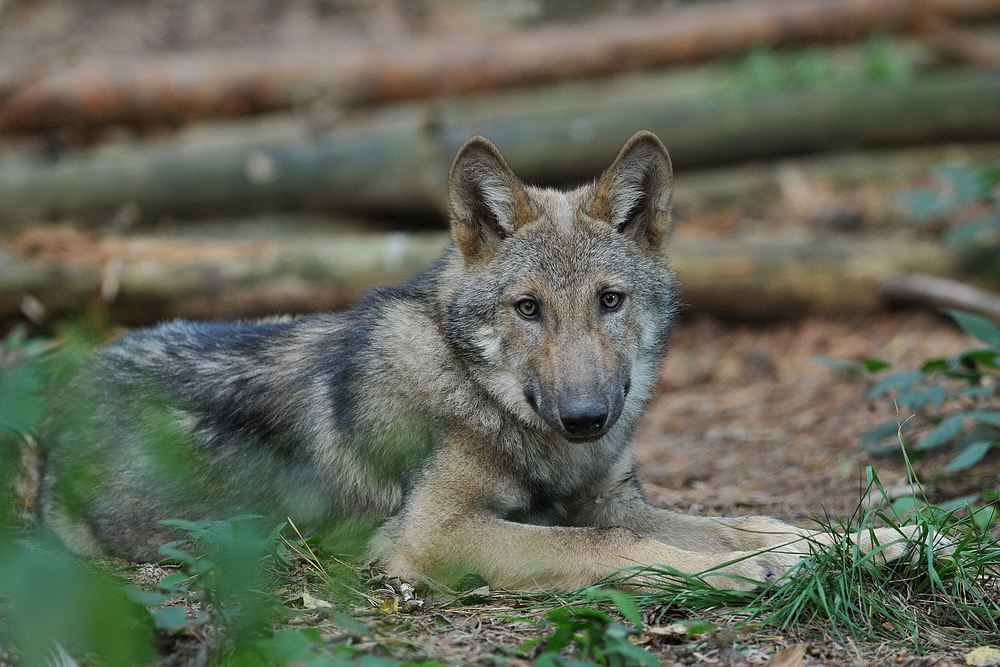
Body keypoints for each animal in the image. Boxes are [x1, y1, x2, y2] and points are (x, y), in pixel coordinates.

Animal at [39, 133, 928, 592]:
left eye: (609, 301)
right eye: (528, 308)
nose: (586, 418)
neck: (490, 404)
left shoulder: (612, 498)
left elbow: (757, 523)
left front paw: (894, 539)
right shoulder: (432, 536)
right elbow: (613, 549)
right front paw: (737, 573)